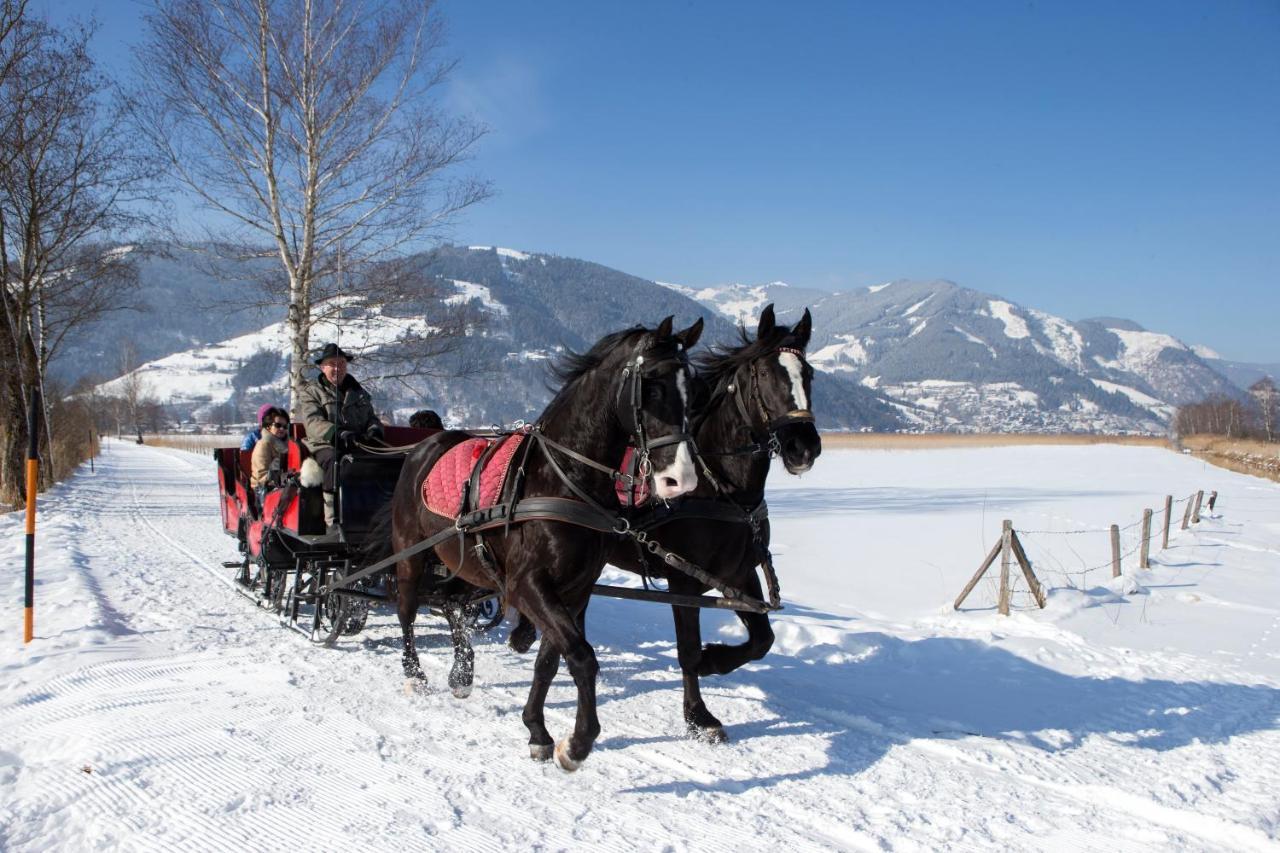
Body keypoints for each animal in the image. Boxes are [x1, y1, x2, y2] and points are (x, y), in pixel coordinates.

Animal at [381, 315, 701, 768]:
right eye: (652, 387)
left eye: (693, 389)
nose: (681, 479)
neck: (563, 479)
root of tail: (423, 447)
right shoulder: (527, 584)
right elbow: (581, 656)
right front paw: (579, 743)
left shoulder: (575, 589)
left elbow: (550, 660)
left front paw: (537, 730)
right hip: (411, 552)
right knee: (407, 609)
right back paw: (414, 674)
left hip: (464, 561)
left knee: (452, 604)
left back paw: (462, 672)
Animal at [609, 303, 819, 737]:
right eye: (765, 375)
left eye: (809, 373)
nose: (804, 447)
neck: (721, 490)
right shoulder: (682, 580)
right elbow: (687, 649)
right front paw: (697, 715)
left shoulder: (739, 574)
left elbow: (763, 639)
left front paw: (716, 659)